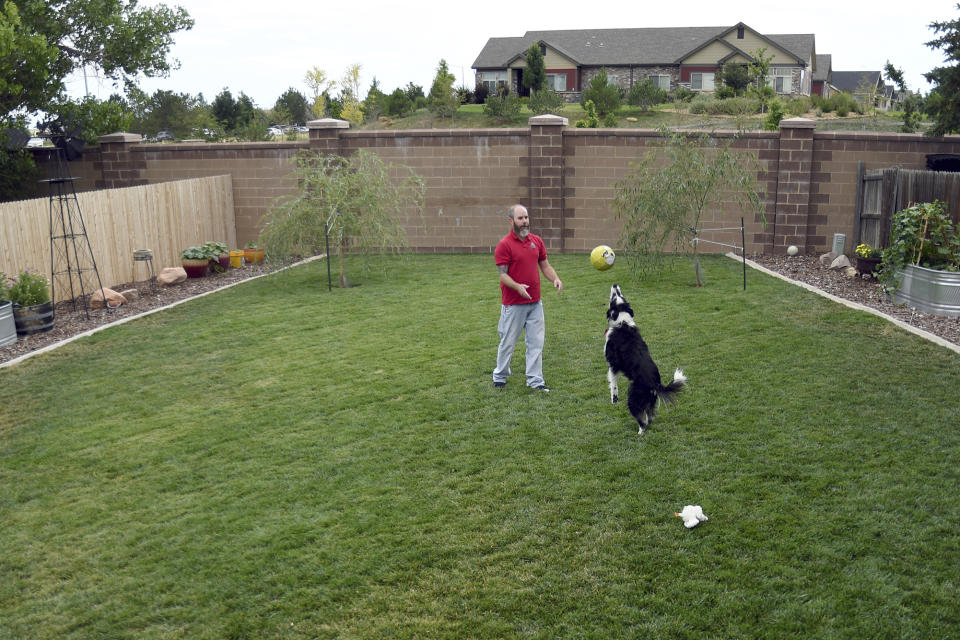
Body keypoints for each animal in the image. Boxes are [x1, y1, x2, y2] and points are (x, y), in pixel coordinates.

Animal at [604, 284, 688, 436]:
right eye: (619, 295)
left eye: (614, 297)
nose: (615, 285)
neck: (623, 322)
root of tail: (655, 384)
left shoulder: (612, 364)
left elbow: (613, 384)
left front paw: (614, 399)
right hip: (649, 401)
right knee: (650, 416)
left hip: (633, 399)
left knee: (642, 421)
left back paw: (639, 433)